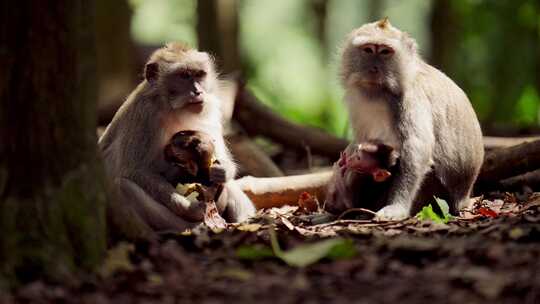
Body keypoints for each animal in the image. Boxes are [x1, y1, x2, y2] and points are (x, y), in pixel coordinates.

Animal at [98, 42, 255, 232]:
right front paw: (188, 207)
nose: (198, 91)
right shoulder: (144, 114)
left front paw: (223, 170)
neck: (173, 108)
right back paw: (191, 225)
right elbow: (134, 170)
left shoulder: (210, 108)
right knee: (124, 187)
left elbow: (219, 158)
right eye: (184, 76)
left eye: (199, 74)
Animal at [336, 18, 484, 218]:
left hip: (437, 194)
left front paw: (396, 207)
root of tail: (464, 199)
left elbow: (416, 147)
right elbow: (361, 141)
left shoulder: (410, 98)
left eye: (385, 52)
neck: (381, 95)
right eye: (368, 50)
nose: (374, 69)